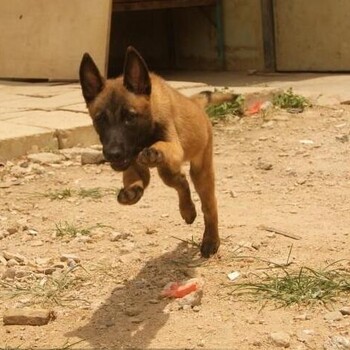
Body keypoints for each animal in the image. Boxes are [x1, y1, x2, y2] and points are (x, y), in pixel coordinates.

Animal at [79, 45, 232, 258]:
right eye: (100, 119)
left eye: (130, 117)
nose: (112, 154)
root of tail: (194, 103)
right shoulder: (132, 163)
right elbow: (137, 178)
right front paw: (132, 191)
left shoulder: (173, 147)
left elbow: (162, 147)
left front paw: (154, 151)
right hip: (167, 171)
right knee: (180, 181)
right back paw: (187, 210)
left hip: (200, 170)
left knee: (209, 205)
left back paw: (211, 240)